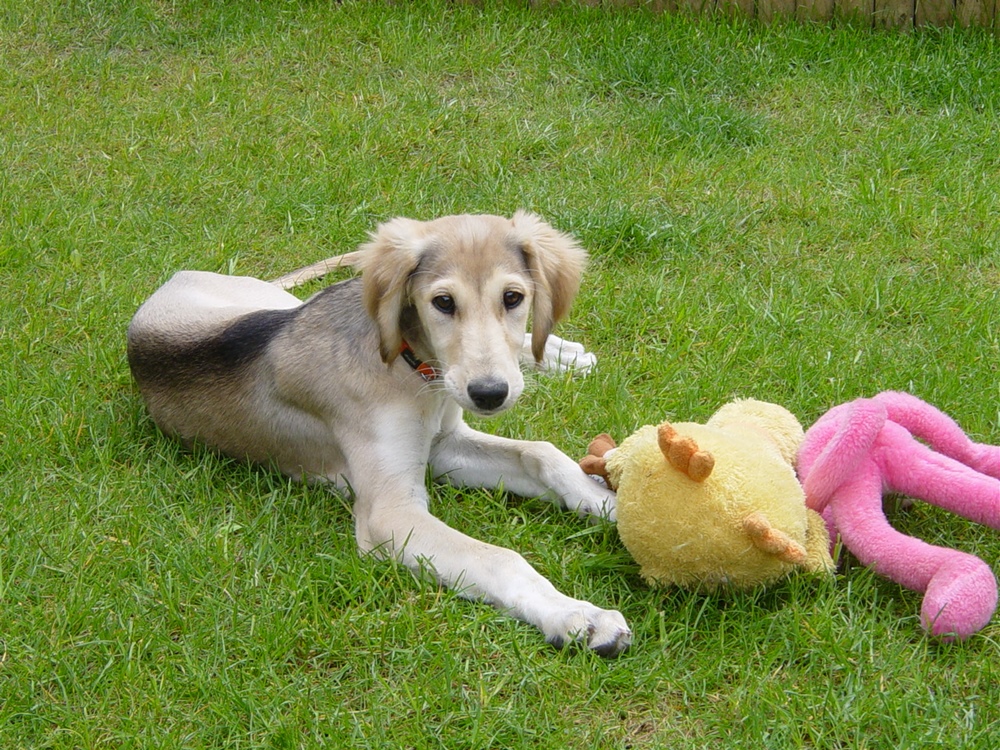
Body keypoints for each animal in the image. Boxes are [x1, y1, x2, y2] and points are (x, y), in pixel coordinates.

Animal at [129, 212, 632, 656]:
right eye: (443, 303)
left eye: (513, 298)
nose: (489, 393)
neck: (415, 372)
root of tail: (172, 280)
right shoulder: (391, 512)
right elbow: (498, 556)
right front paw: (577, 615)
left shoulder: (445, 446)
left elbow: (540, 453)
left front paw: (607, 501)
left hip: (277, 305)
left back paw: (558, 354)